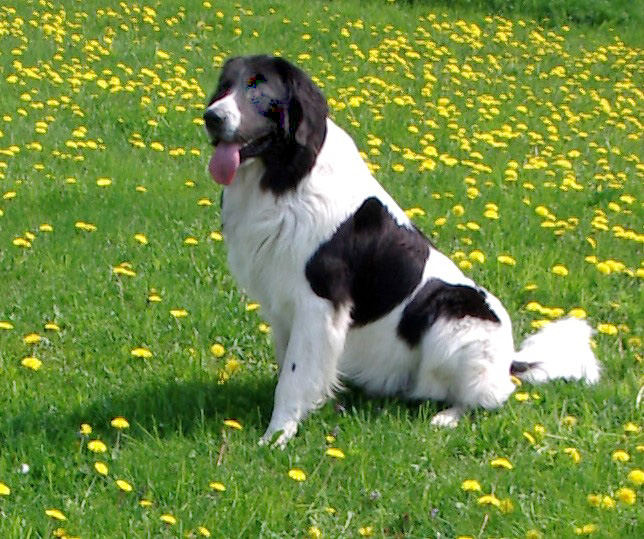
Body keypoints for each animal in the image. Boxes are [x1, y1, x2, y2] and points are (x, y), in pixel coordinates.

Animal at [203, 56, 600, 452]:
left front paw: (276, 435)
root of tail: (510, 358)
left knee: (492, 395)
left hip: (454, 316)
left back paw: (448, 416)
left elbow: (294, 375)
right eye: (225, 86)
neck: (286, 178)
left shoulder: (318, 303)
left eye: (257, 87)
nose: (211, 117)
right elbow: (291, 365)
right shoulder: (284, 305)